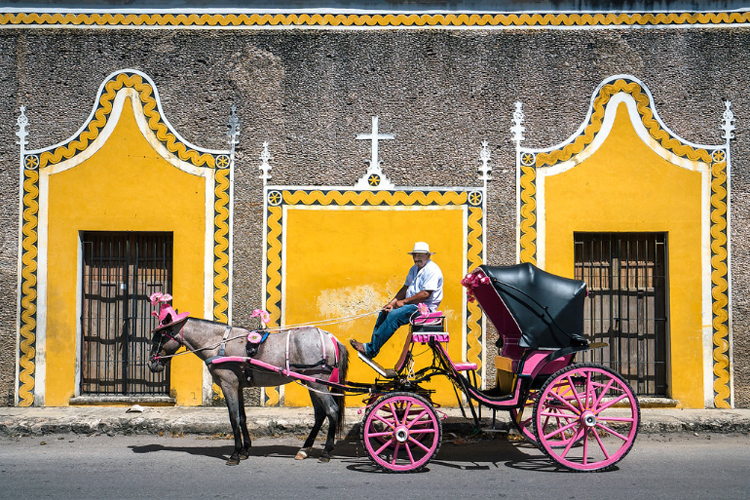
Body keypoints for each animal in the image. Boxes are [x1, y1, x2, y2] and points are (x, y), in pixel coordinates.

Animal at [148, 318, 352, 466]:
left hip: (318, 383)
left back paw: (326, 452)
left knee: (332, 411)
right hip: (311, 382)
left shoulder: (228, 384)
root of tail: (331, 338)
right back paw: (304, 449)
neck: (219, 343)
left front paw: (235, 455)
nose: (151, 364)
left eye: (160, 337)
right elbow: (242, 417)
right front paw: (245, 450)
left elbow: (233, 417)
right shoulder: (237, 386)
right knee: (320, 414)